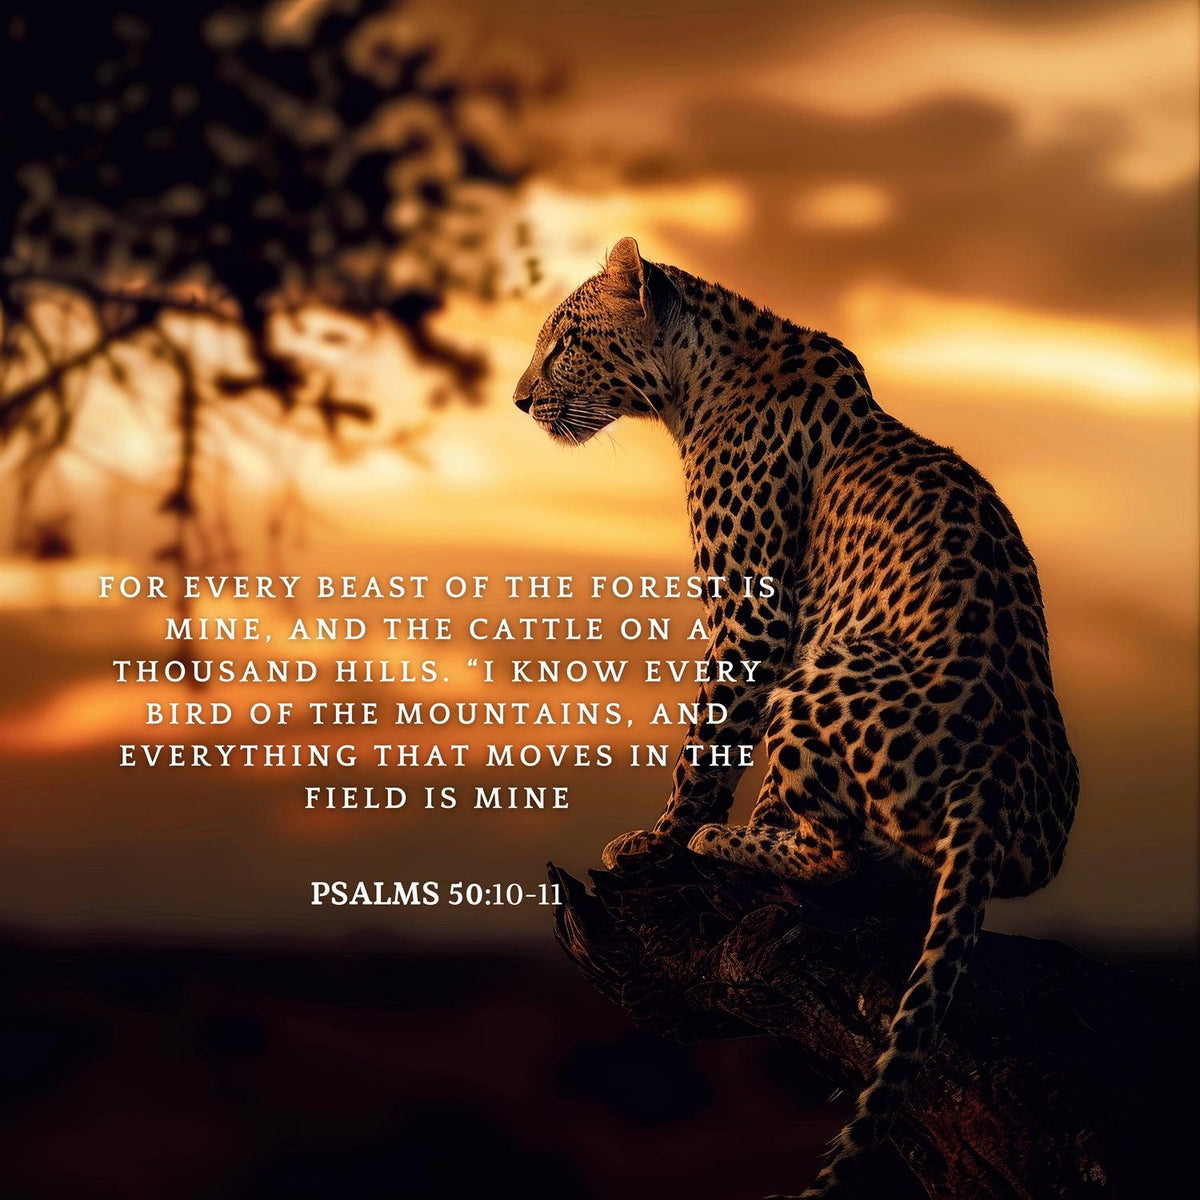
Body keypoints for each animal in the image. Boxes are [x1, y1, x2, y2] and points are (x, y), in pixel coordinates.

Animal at [513, 237, 1079, 1198]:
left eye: (567, 344)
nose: (519, 401)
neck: (697, 380)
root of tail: (992, 786)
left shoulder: (753, 611)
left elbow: (709, 740)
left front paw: (659, 841)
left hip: (829, 667)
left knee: (837, 854)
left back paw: (733, 844)